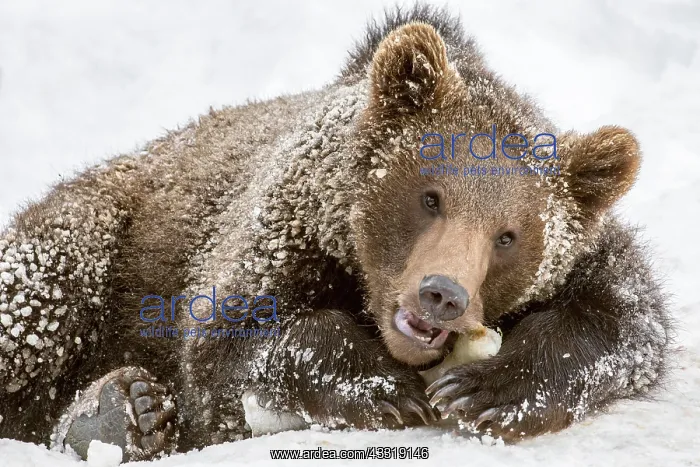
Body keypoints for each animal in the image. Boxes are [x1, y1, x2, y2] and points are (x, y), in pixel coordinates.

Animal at [0, 4, 670, 462]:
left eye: (508, 235)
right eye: (430, 196)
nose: (442, 294)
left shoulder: (594, 255)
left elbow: (626, 320)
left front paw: (485, 388)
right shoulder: (275, 230)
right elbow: (231, 349)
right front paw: (384, 387)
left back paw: (119, 412)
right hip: (99, 227)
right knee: (40, 296)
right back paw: (121, 410)